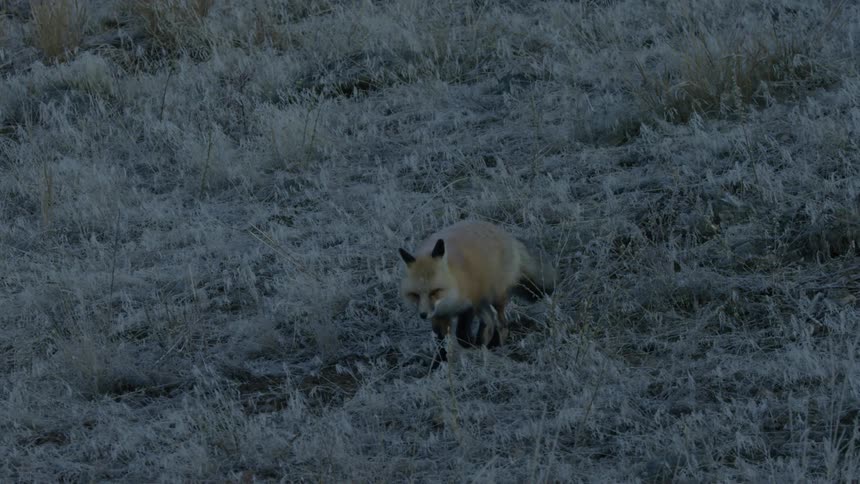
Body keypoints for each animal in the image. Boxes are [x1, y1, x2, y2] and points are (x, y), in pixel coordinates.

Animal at [397, 220, 556, 358]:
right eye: (414, 295)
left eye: (435, 291)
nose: (423, 315)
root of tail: (506, 234)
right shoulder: (440, 317)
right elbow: (442, 343)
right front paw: (440, 362)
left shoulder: (472, 304)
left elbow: (465, 333)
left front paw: (475, 346)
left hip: (495, 297)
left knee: (500, 322)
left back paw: (494, 343)